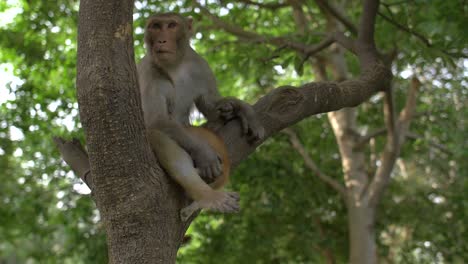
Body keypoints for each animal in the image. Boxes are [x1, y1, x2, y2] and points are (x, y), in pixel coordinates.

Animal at [137, 12, 266, 221]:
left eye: (171, 25)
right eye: (155, 26)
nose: (161, 40)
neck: (175, 65)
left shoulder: (200, 65)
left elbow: (211, 105)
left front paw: (242, 109)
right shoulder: (148, 70)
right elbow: (156, 119)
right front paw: (204, 154)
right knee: (157, 135)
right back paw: (208, 196)